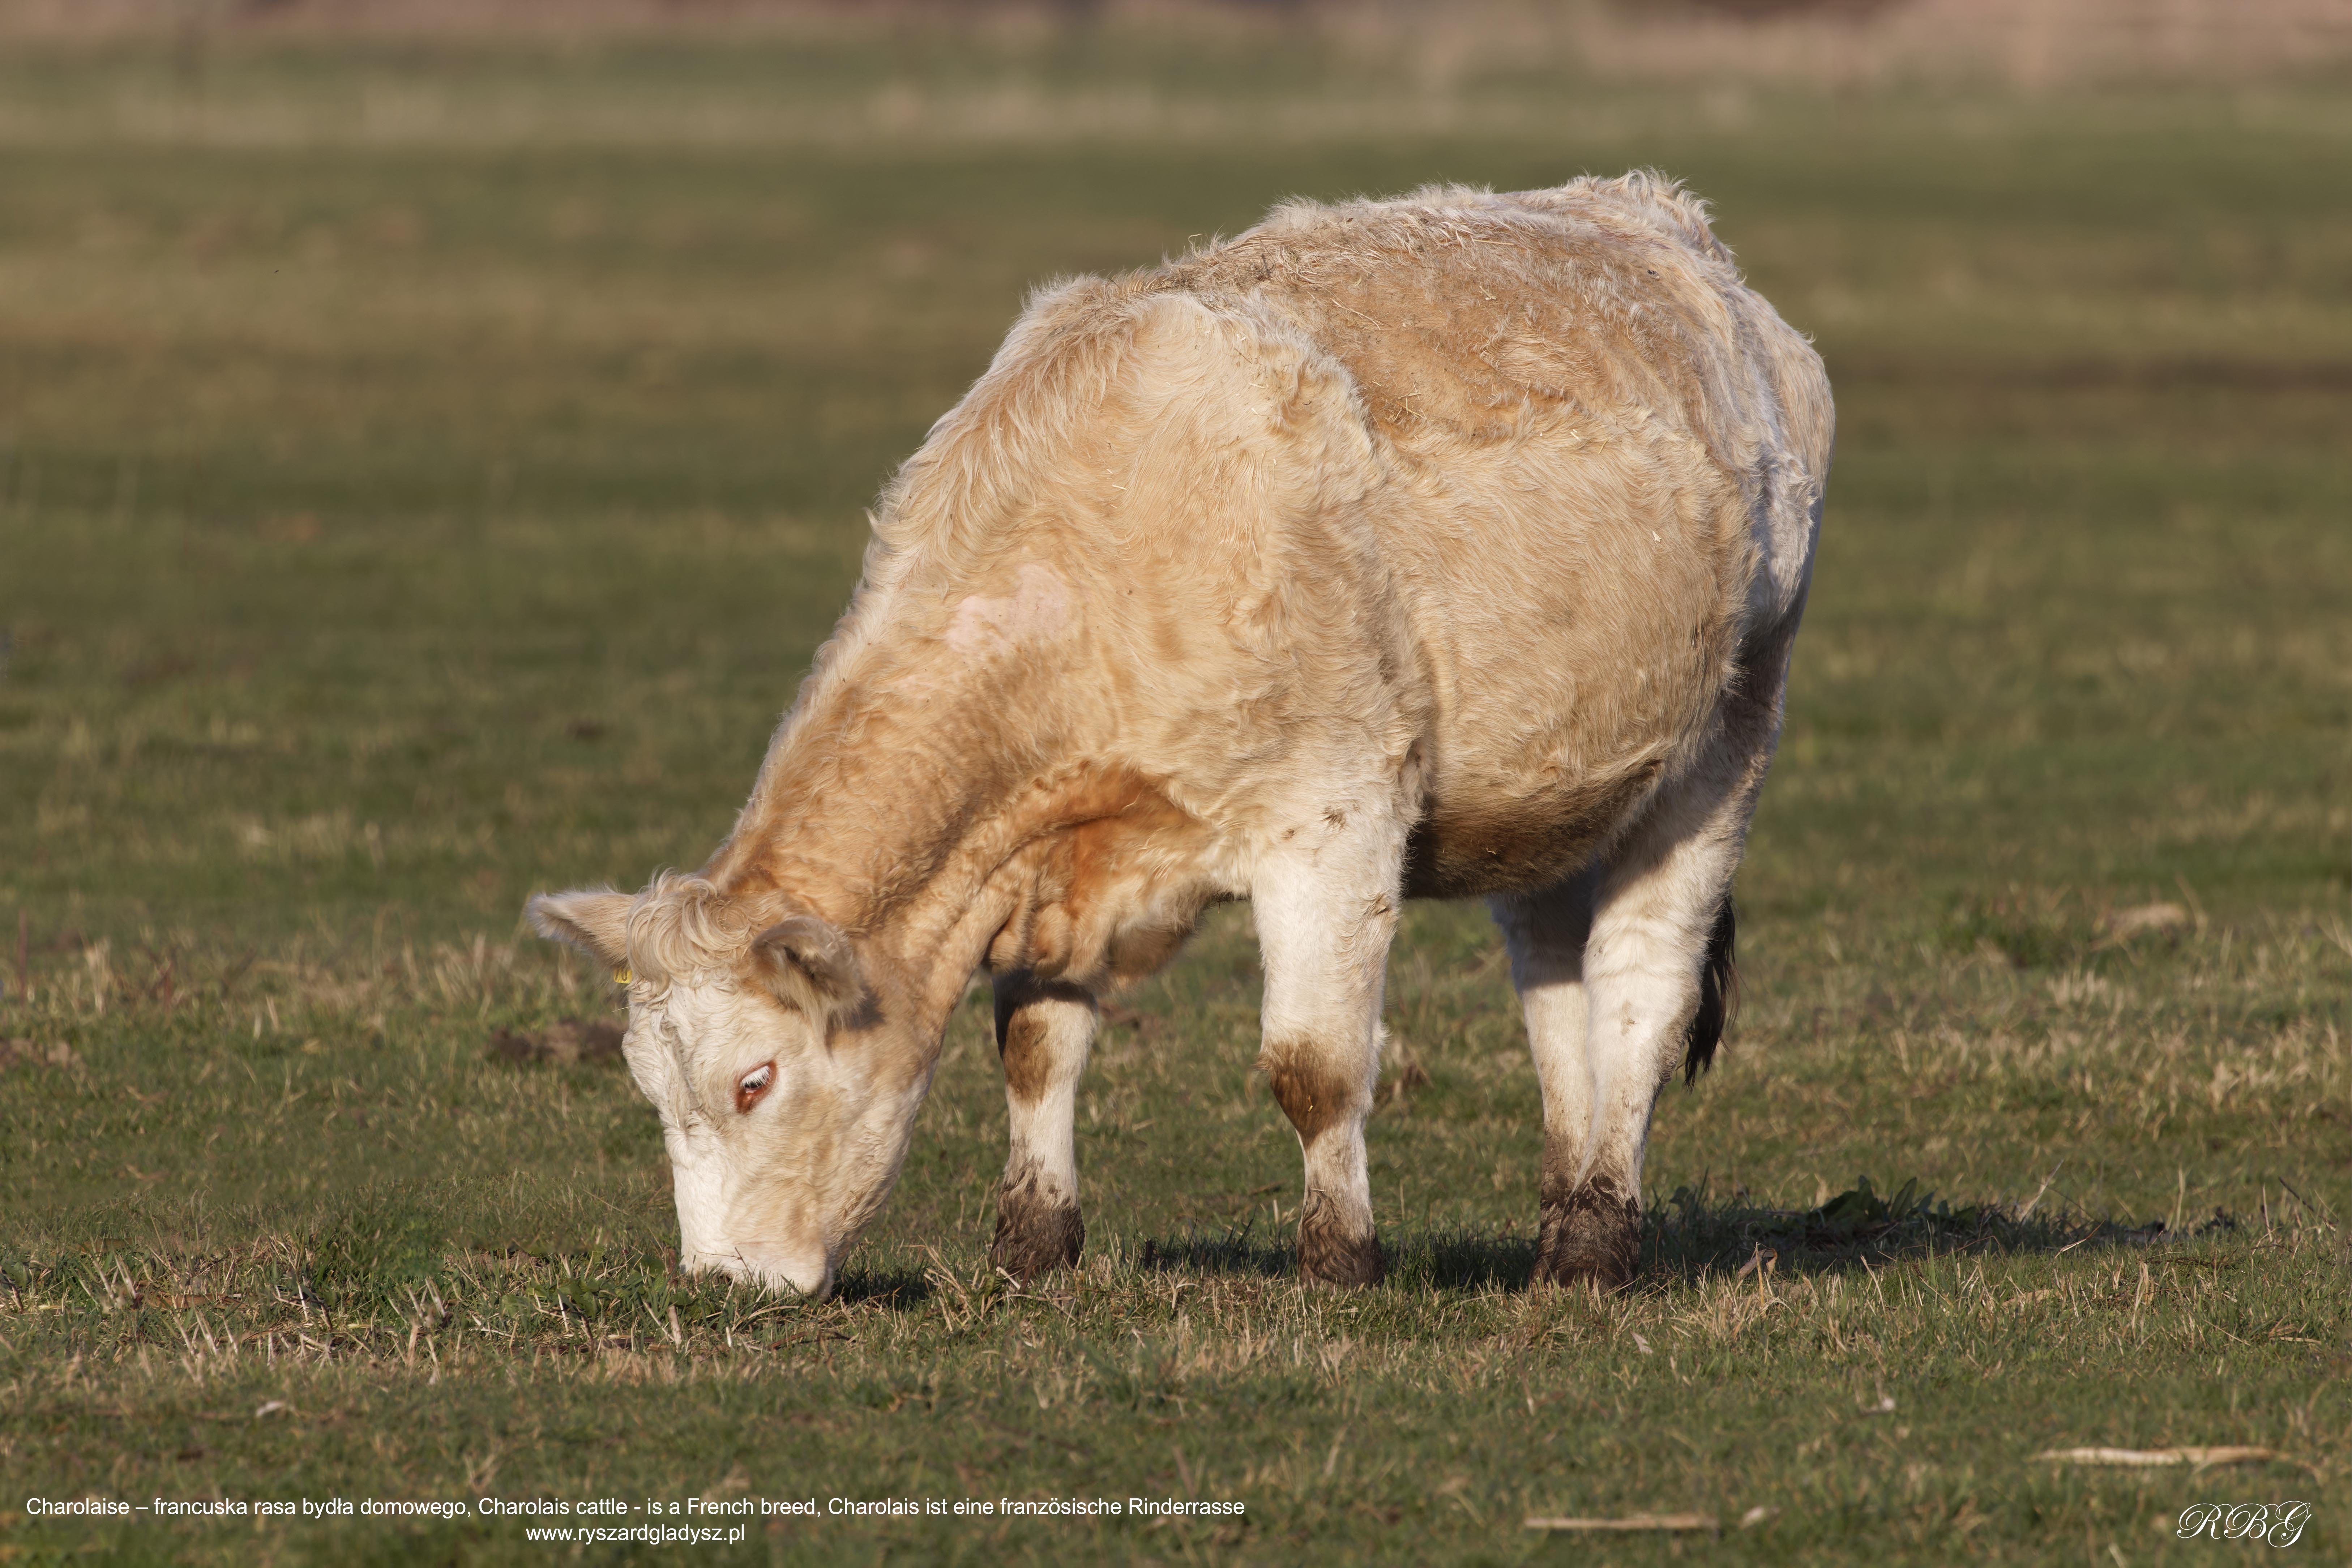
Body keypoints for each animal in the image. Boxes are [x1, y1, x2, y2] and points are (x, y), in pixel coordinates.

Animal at [527, 173, 1832, 1300]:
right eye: (647, 1086)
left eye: (755, 1080)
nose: (722, 1281)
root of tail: (1658, 222)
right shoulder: (1053, 873)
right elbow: (1036, 1044)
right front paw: (1033, 1248)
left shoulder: (1334, 820)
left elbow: (1312, 1067)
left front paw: (1338, 1262)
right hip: (1556, 792)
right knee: (1556, 985)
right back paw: (1566, 1220)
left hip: (1727, 741)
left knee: (1639, 991)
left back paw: (1600, 1242)